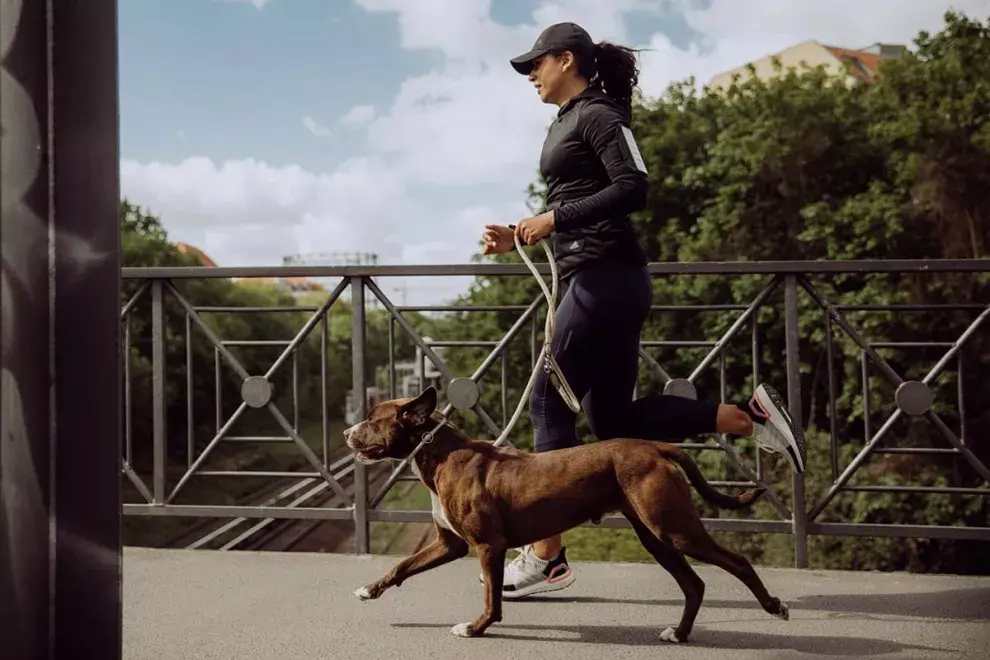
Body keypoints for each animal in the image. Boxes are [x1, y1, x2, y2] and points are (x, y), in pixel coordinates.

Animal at [344, 386, 796, 644]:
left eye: (371, 419)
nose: (347, 432)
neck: (440, 453)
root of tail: (655, 446)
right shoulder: (448, 544)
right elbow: (402, 566)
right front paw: (369, 589)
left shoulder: (488, 546)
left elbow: (492, 598)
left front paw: (476, 628)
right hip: (656, 536)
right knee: (694, 584)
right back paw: (681, 633)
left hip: (675, 530)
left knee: (736, 562)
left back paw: (773, 606)